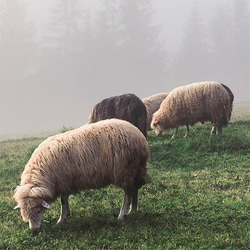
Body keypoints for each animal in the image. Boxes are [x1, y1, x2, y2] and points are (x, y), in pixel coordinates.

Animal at [13, 119, 149, 230]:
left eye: (37, 211)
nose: (34, 230)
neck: (44, 172)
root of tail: (139, 135)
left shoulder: (64, 181)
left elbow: (63, 200)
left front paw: (62, 218)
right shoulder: (65, 182)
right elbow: (65, 199)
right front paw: (66, 215)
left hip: (126, 170)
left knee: (128, 193)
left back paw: (122, 214)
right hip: (136, 169)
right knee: (135, 189)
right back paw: (133, 209)